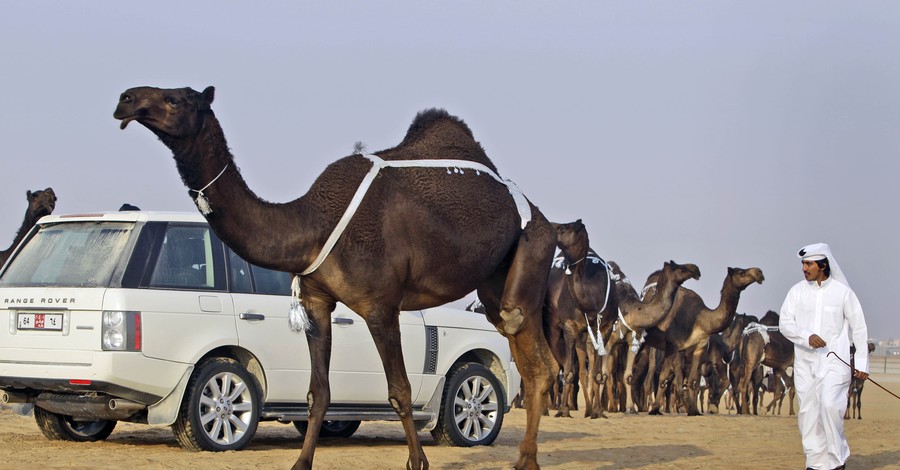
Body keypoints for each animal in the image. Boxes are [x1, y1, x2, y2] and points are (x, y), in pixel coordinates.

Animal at [115, 85, 560, 470]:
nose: (126, 100)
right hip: (494, 281)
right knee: (530, 354)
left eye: (175, 99)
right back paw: (525, 458)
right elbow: (319, 393)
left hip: (532, 245)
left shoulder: (381, 306)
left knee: (528, 342)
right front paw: (301, 462)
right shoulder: (316, 302)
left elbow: (399, 391)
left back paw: (528, 460)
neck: (311, 224)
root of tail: (542, 215)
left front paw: (418, 462)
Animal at [540, 220, 620, 418]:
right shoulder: (569, 327)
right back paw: (546, 409)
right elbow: (568, 371)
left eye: (562, 228)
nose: (548, 225)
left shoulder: (604, 329)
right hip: (552, 327)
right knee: (557, 365)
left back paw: (588, 409)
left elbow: (597, 374)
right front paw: (562, 411)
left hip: (584, 337)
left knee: (583, 371)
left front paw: (598, 412)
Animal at [604, 258, 704, 414]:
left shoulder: (633, 341)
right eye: (678, 267)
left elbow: (628, 376)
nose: (696, 269)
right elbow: (607, 374)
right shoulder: (611, 341)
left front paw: (631, 408)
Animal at [644, 266, 764, 416]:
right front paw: (655, 409)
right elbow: (668, 378)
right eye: (740, 272)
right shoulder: (680, 348)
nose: (759, 272)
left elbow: (693, 382)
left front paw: (694, 410)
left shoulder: (700, 349)